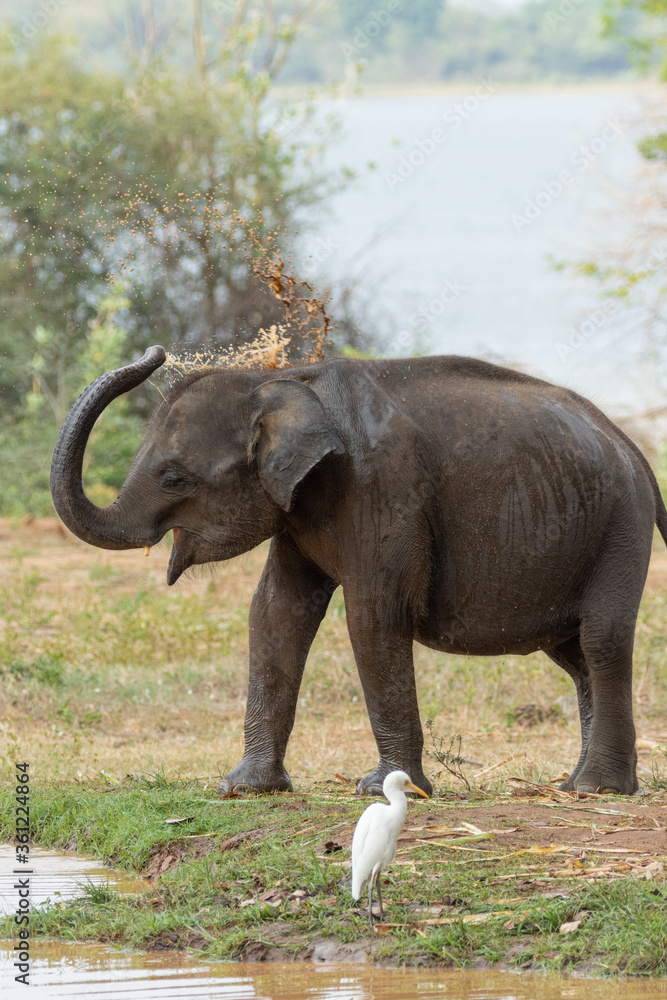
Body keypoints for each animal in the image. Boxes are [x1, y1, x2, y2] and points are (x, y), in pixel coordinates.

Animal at [50, 345, 667, 796]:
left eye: (175, 478)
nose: (155, 352)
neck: (285, 378)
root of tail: (635, 451)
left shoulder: (380, 489)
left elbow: (373, 617)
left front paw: (384, 790)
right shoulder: (298, 508)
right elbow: (275, 613)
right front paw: (245, 789)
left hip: (621, 528)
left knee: (602, 640)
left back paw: (596, 791)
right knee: (575, 656)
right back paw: (580, 784)